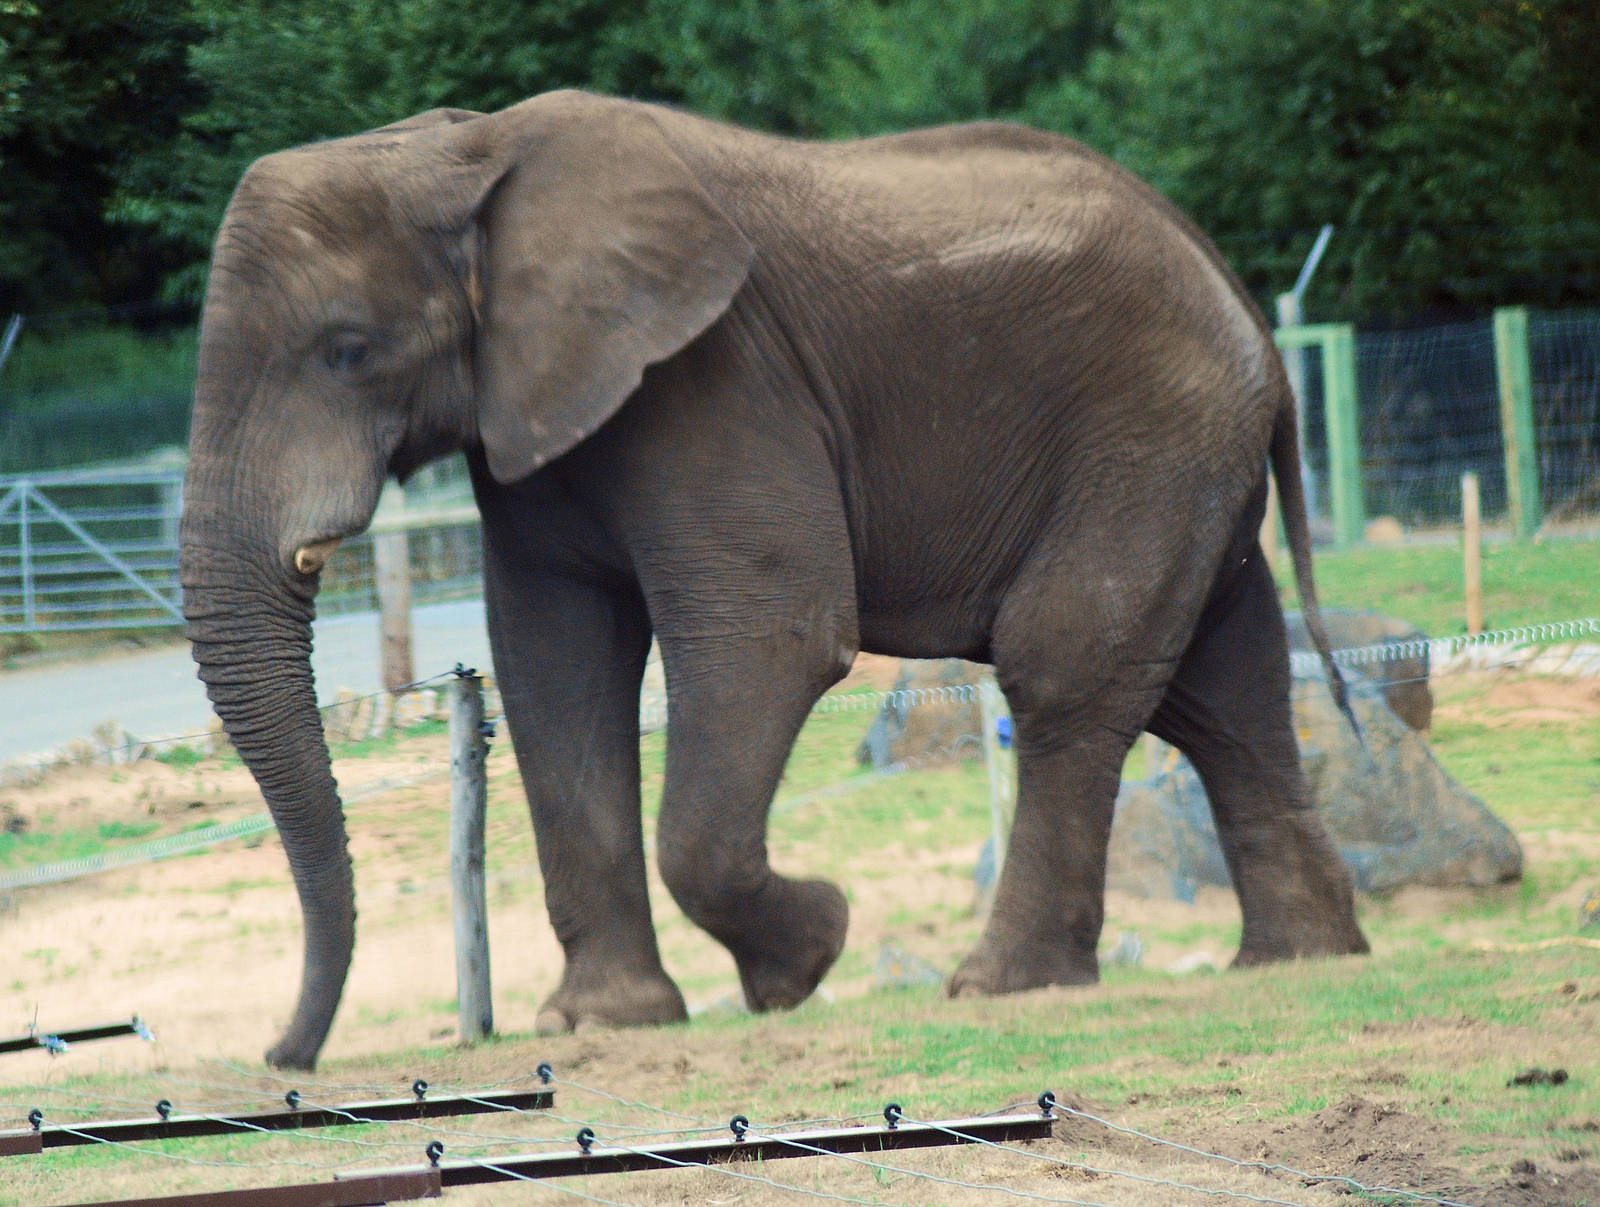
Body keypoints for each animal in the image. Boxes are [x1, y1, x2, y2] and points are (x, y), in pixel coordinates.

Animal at [179, 88, 1368, 1070]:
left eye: (346, 350)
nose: (283, 1057)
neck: (463, 151)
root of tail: (1245, 306)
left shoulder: (717, 377)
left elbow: (772, 635)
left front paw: (810, 954)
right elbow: (554, 665)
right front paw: (600, 1023)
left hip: (1150, 435)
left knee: (1066, 664)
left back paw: (998, 987)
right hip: (1186, 456)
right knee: (1227, 692)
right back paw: (1299, 958)